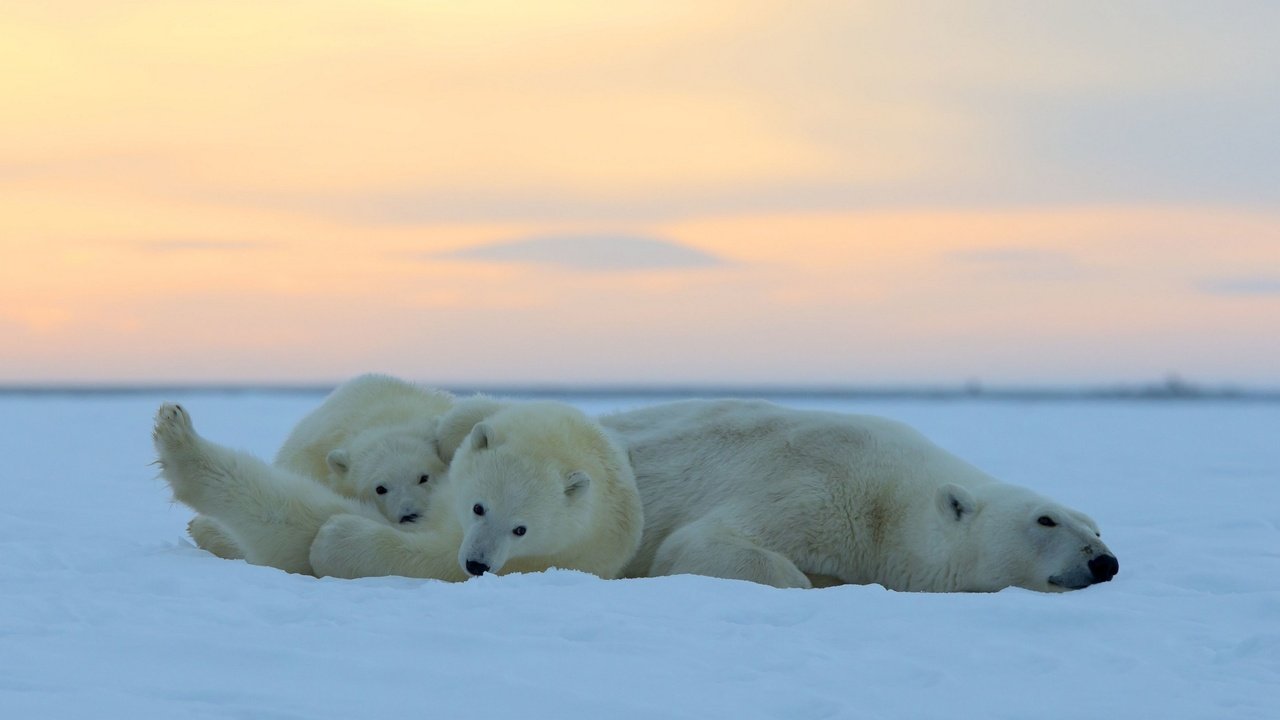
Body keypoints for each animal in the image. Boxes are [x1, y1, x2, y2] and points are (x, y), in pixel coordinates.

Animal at [604, 397, 1116, 589]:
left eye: (1096, 527)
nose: (1104, 562)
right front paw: (804, 579)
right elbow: (694, 543)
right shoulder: (811, 483)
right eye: (1046, 519)